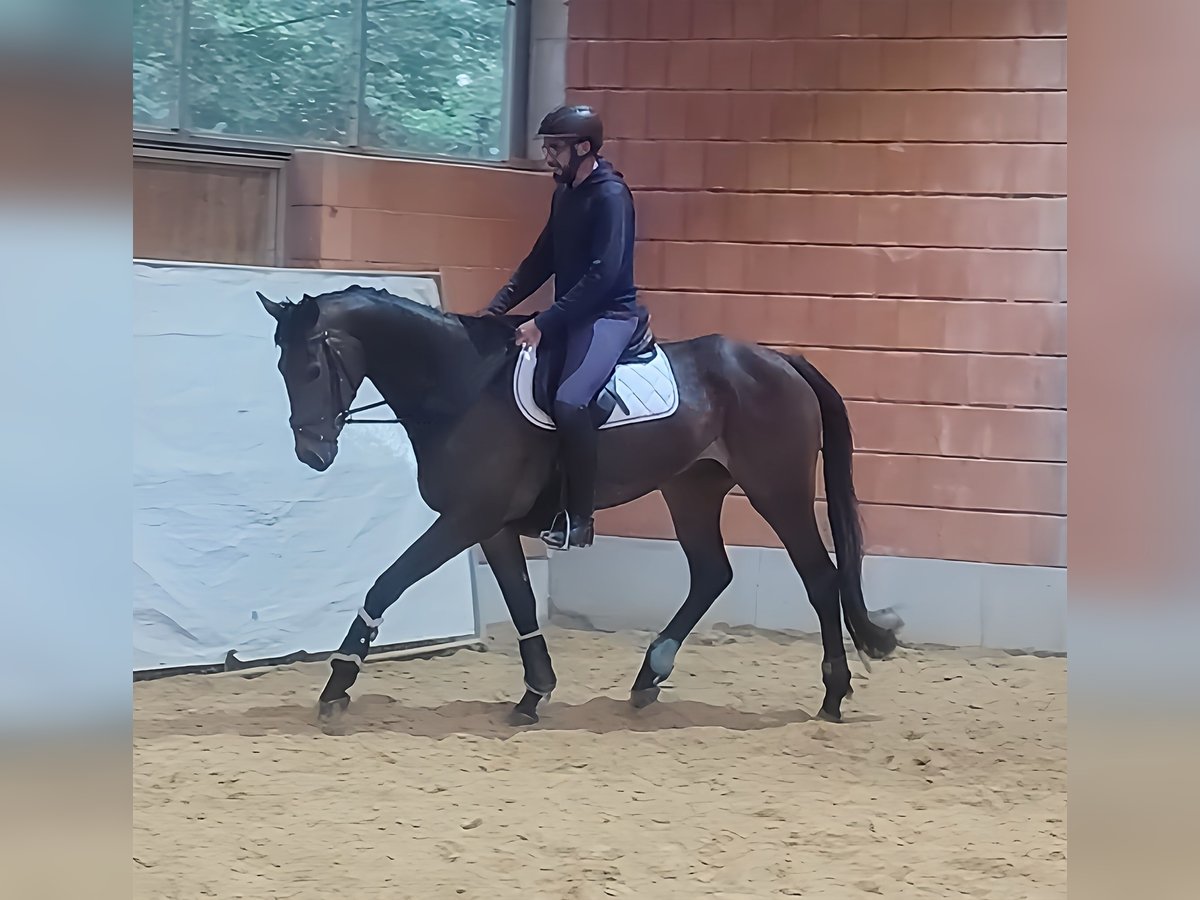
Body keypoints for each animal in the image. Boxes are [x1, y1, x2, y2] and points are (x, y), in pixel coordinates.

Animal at [258, 285, 897, 729]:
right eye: (281, 368)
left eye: (311, 367)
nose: (312, 453)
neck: (463, 388)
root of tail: (780, 360)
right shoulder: (490, 527)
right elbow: (519, 601)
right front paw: (533, 693)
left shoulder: (465, 519)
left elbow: (386, 584)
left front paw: (337, 687)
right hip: (690, 489)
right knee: (712, 574)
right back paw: (648, 677)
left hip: (777, 491)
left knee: (819, 578)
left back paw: (833, 694)